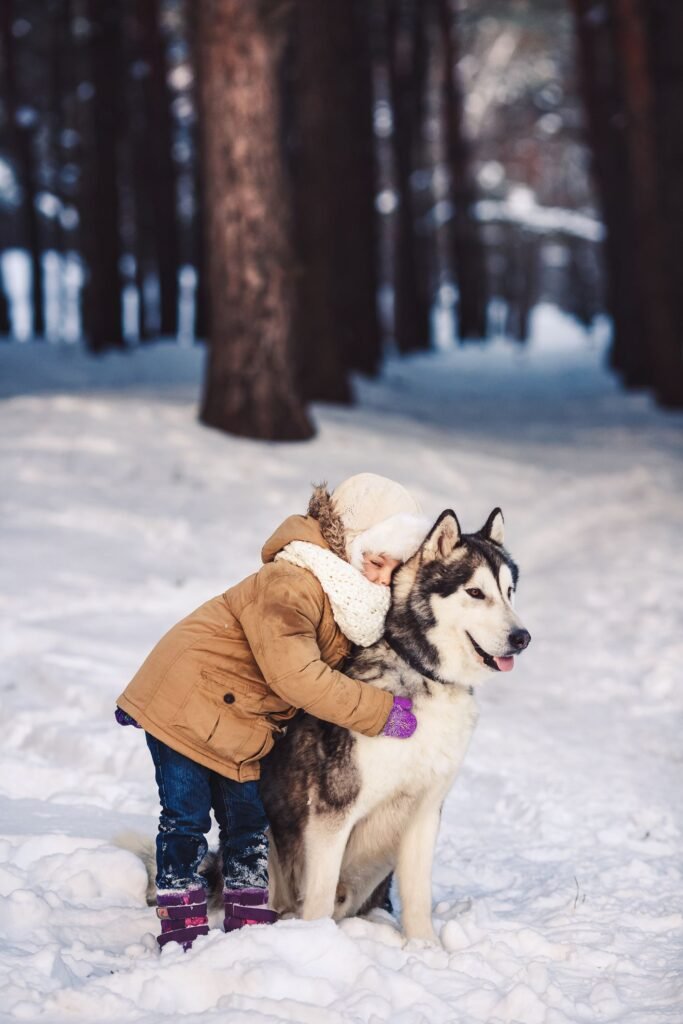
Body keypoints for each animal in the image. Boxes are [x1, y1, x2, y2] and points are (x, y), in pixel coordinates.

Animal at [260, 507, 528, 937]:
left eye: (509, 591)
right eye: (475, 593)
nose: (523, 637)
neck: (422, 674)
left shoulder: (425, 812)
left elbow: (417, 896)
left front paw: (425, 947)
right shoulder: (331, 815)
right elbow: (318, 900)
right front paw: (317, 941)